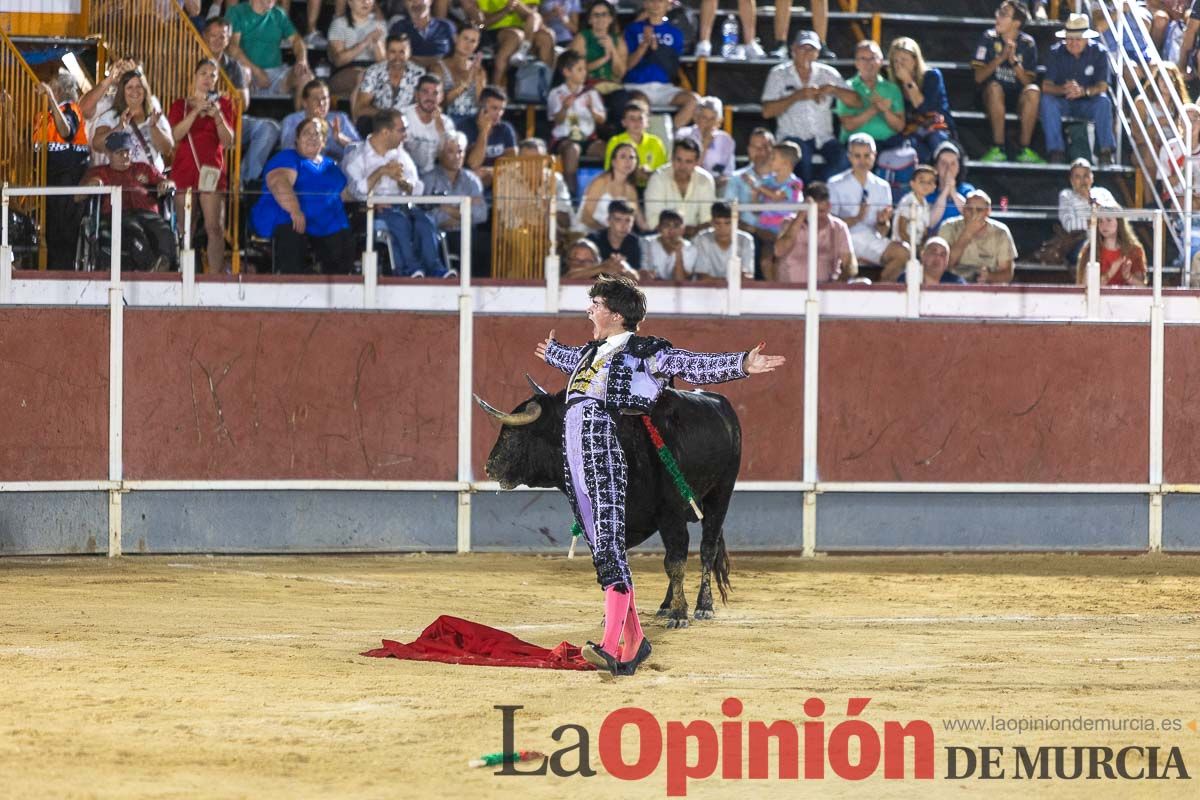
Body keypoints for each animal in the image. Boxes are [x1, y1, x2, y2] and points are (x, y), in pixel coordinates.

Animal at [477, 381, 739, 623]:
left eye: (514, 434)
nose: (489, 468)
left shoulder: (671, 514)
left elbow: (675, 562)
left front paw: (679, 614)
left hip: (721, 493)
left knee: (706, 549)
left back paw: (703, 606)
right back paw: (665, 605)